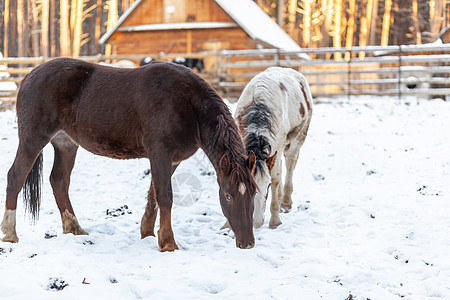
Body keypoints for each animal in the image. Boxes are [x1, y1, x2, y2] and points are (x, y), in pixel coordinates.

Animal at [1, 58, 256, 251]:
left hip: (66, 144)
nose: (247, 243)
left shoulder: (171, 159)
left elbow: (153, 195)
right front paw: (168, 243)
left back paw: (74, 229)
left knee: (59, 181)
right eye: (228, 195)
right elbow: (165, 196)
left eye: (254, 192)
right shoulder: (160, 153)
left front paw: (148, 234)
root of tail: (29, 76)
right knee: (16, 177)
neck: (187, 105)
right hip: (33, 139)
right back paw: (10, 233)